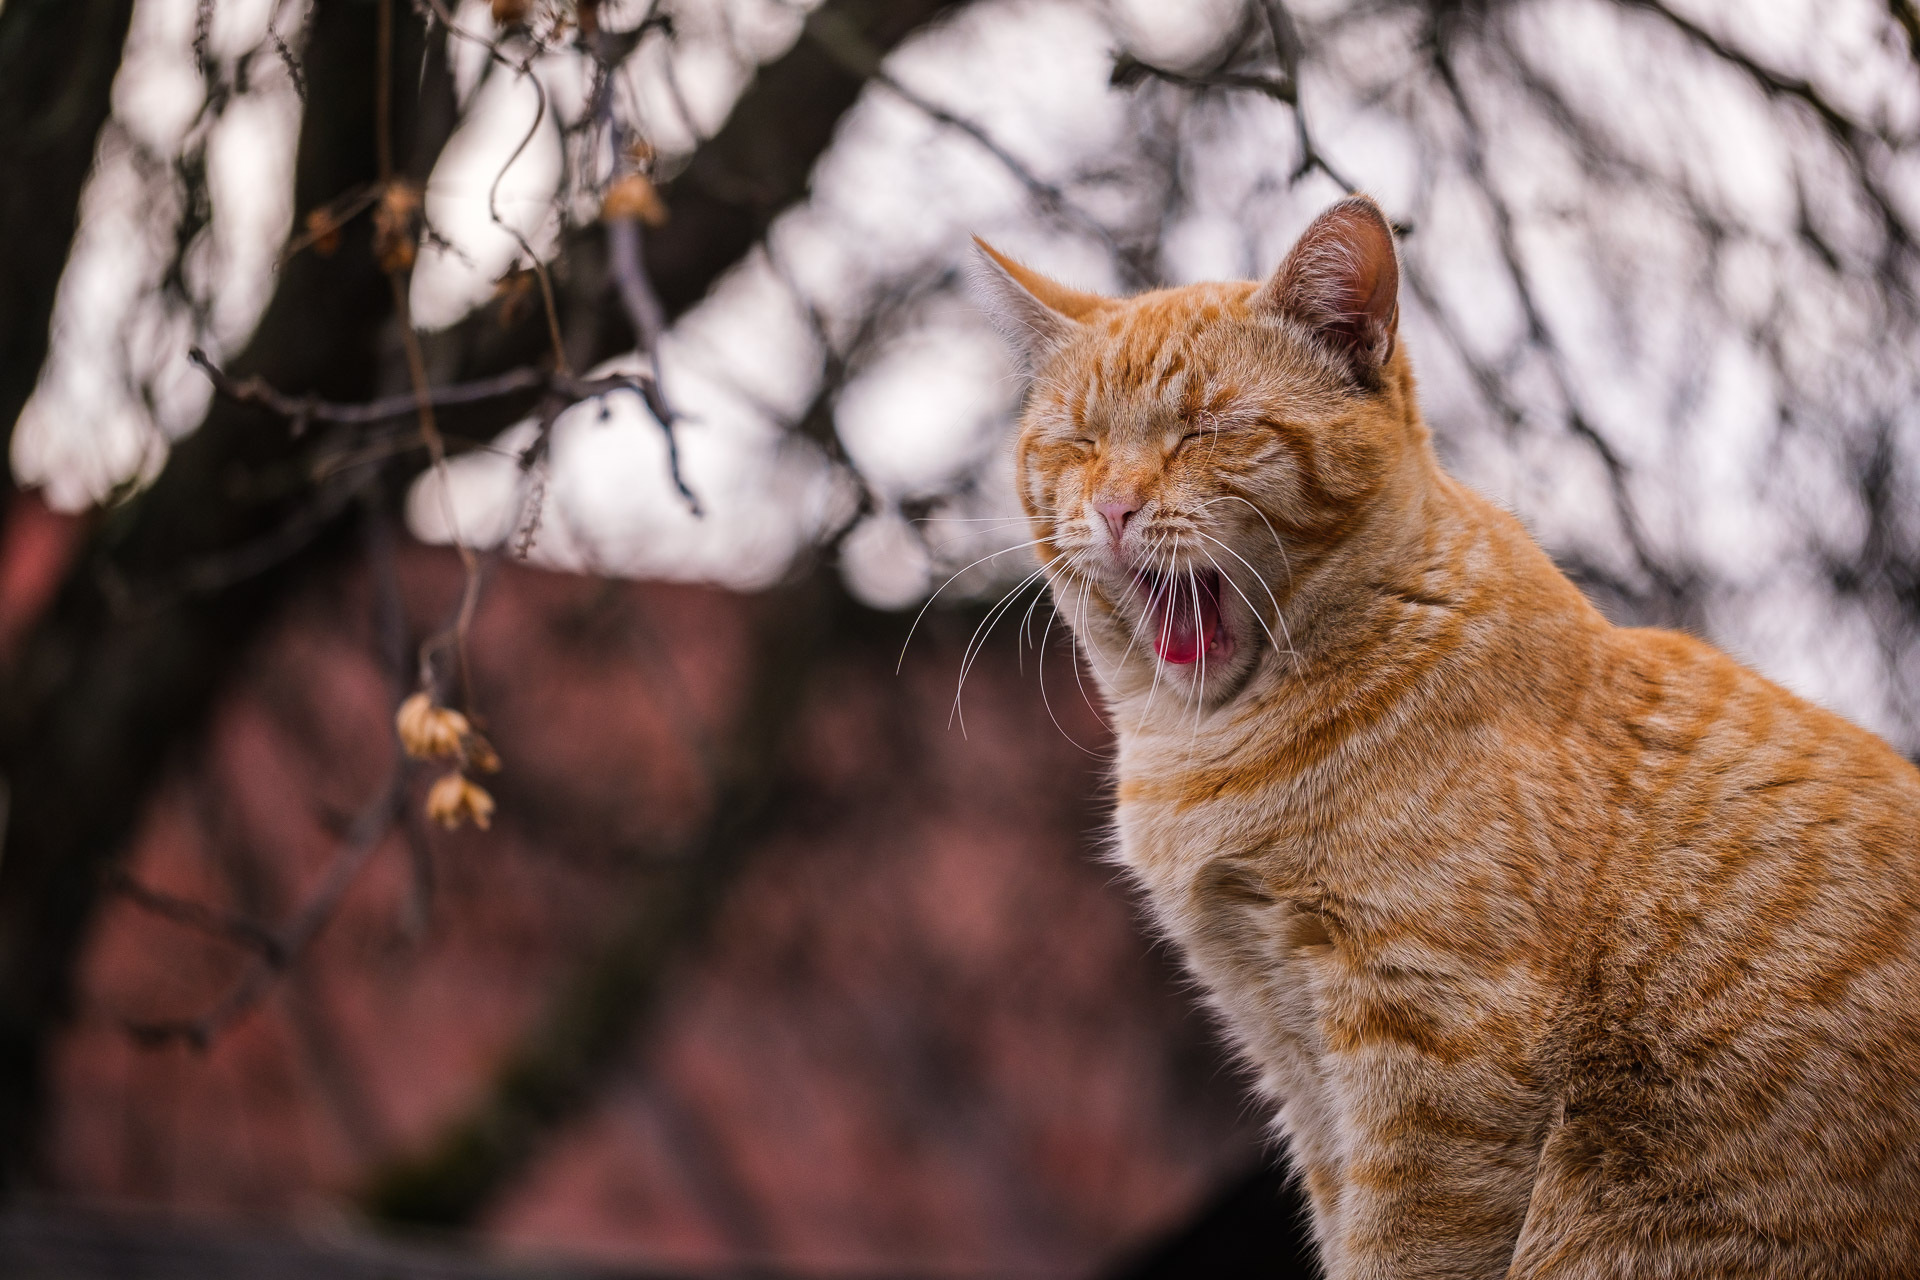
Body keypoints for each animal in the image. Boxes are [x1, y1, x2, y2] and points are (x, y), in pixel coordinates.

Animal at [975, 195, 1920, 1274]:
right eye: (1079, 443)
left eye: (1207, 429)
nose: (1115, 506)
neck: (1207, 743)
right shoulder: (1294, 1056)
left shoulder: (1438, 1044)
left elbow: (1402, 1246)